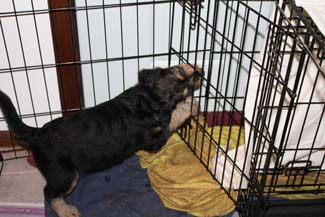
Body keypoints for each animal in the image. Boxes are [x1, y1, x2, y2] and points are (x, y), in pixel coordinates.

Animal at [0, 64, 201, 217]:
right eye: (182, 77)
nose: (200, 72)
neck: (144, 98)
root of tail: (37, 133)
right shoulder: (152, 140)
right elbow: (171, 120)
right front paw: (189, 106)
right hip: (63, 174)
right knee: (49, 193)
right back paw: (66, 211)